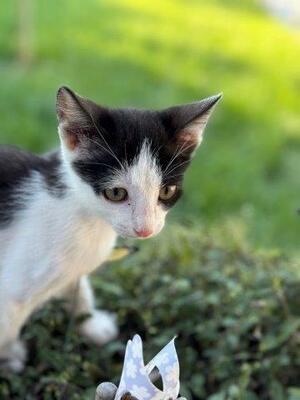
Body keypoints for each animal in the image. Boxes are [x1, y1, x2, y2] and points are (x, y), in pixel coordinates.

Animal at [0, 87, 220, 372]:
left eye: (167, 191)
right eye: (116, 193)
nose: (145, 229)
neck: (85, 215)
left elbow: (78, 287)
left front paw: (91, 323)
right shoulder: (11, 286)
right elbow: (7, 325)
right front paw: (9, 356)